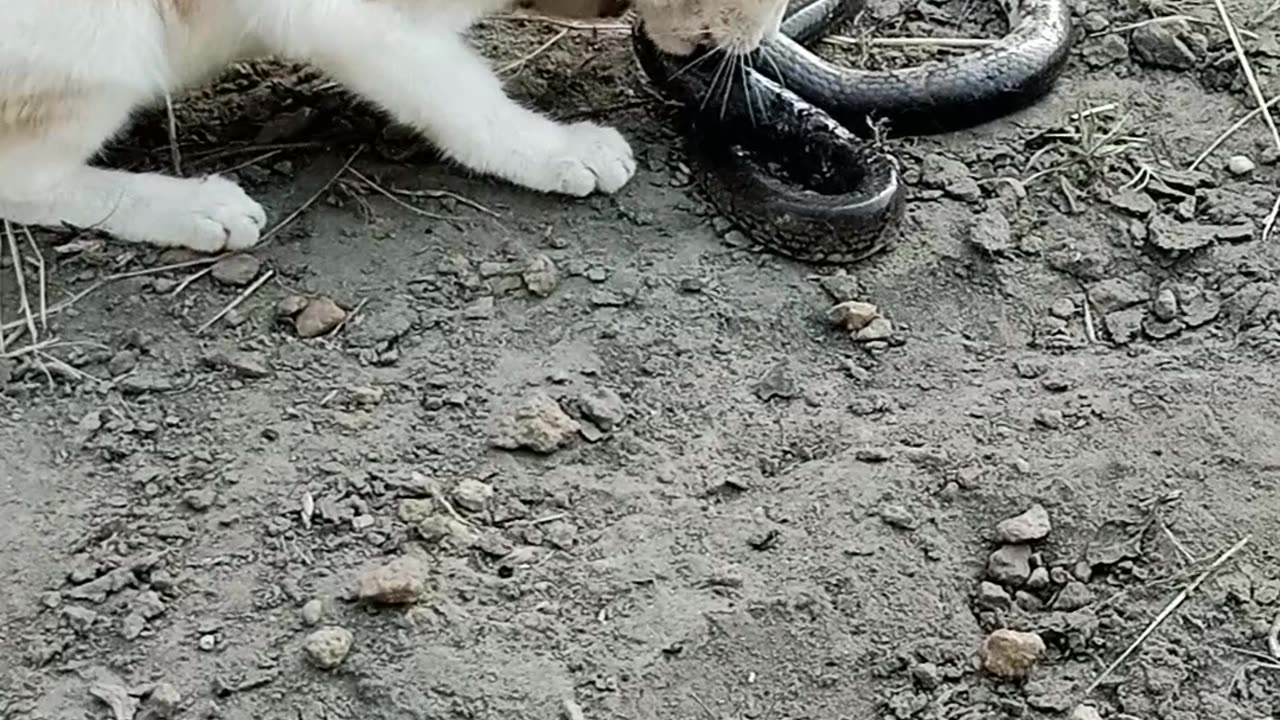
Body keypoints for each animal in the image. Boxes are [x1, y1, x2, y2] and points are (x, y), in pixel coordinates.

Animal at [0, 0, 783, 252]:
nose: (773, 29)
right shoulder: (341, 16)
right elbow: (460, 95)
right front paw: (562, 150)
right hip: (107, 29)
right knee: (21, 179)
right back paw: (192, 207)